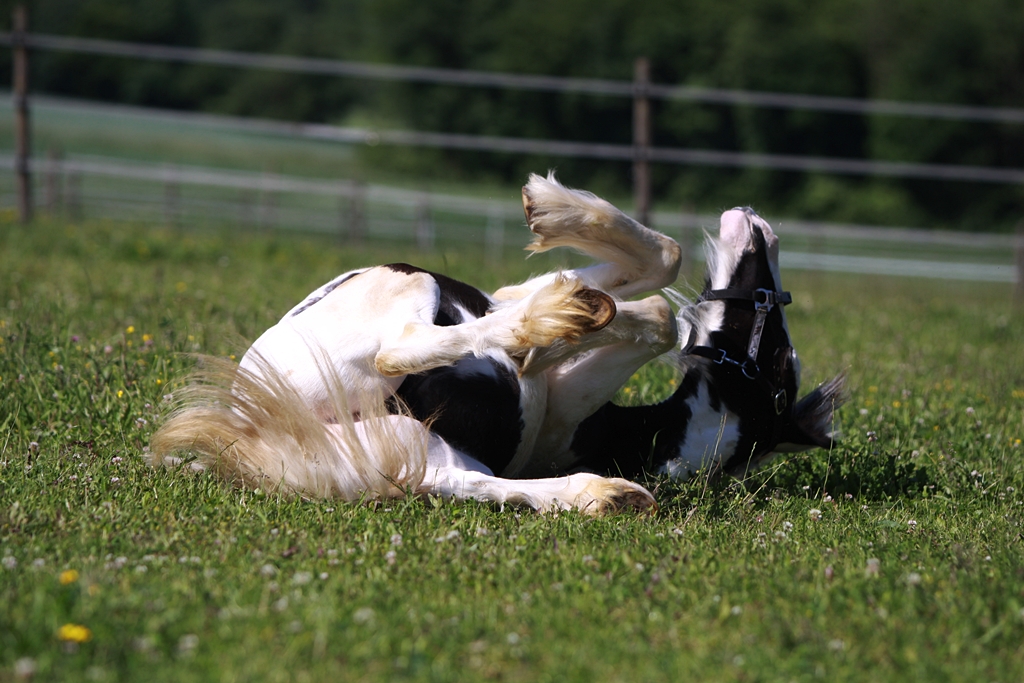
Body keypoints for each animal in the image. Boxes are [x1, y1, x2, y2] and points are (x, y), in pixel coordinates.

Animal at [149, 174, 839, 516]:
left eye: (777, 359)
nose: (759, 225)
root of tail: (260, 429)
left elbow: (651, 303)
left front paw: (554, 310)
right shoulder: (550, 363)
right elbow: (653, 293)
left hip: (401, 321)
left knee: (399, 354)